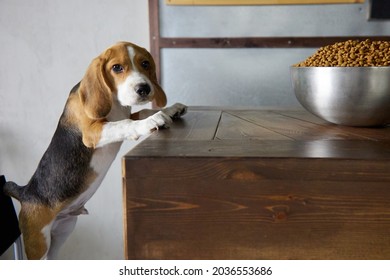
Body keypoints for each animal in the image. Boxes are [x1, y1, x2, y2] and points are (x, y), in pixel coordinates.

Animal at [4, 40, 187, 260]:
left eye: (145, 63)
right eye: (117, 68)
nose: (144, 88)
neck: (115, 102)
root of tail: (25, 192)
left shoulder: (125, 113)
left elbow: (141, 111)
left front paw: (169, 109)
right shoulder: (92, 133)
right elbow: (126, 123)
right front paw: (152, 121)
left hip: (63, 231)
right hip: (39, 242)